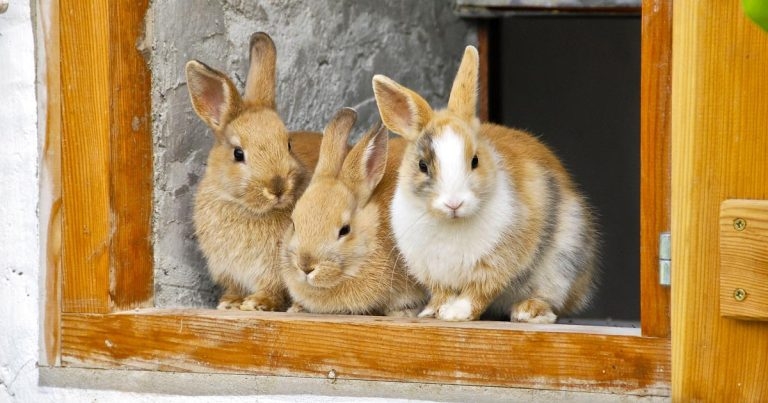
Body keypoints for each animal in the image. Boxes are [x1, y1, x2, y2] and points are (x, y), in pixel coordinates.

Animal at [185, 32, 322, 311]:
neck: (248, 209)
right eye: (238, 153)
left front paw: (257, 303)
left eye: (288, 144)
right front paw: (230, 302)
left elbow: (273, 288)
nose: (277, 187)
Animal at [371, 46, 599, 323]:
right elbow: (443, 293)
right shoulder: (433, 272)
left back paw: (528, 312)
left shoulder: (495, 264)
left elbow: (478, 292)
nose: (454, 203)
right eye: (422, 165)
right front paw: (432, 312)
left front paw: (456, 314)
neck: (451, 223)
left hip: (563, 263)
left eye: (475, 160)